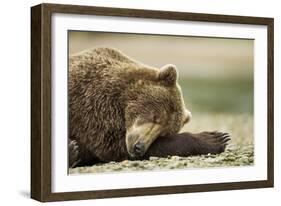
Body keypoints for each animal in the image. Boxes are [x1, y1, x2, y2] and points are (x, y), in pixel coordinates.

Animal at [68, 47, 230, 167]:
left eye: (163, 132)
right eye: (155, 116)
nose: (139, 147)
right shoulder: (93, 107)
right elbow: (112, 145)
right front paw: (215, 138)